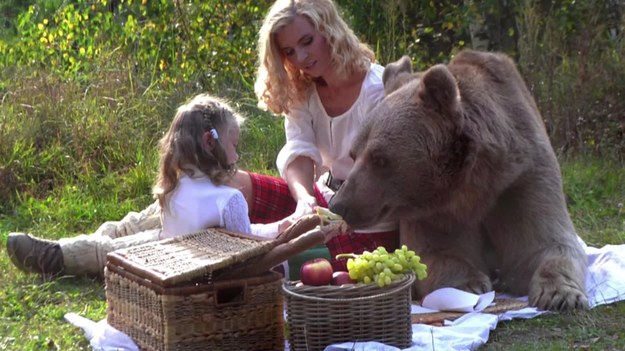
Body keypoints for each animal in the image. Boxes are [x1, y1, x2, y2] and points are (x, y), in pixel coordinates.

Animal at [330, 48, 588, 310]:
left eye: (380, 158)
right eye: (354, 154)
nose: (339, 205)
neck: (475, 183)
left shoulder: (522, 177)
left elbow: (545, 242)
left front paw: (559, 294)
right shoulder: (435, 210)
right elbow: (434, 252)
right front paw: (470, 283)